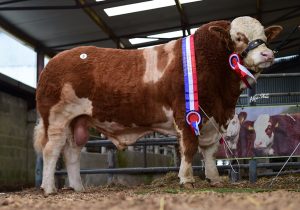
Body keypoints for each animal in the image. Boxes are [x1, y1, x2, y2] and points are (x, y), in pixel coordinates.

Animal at [34, 16, 282, 195]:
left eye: (264, 37)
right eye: (239, 37)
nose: (267, 54)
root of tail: (53, 62)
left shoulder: (214, 117)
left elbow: (209, 151)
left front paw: (214, 179)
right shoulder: (186, 113)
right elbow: (190, 147)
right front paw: (186, 180)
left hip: (78, 121)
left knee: (72, 151)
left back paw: (78, 187)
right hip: (57, 118)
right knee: (52, 150)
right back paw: (49, 188)